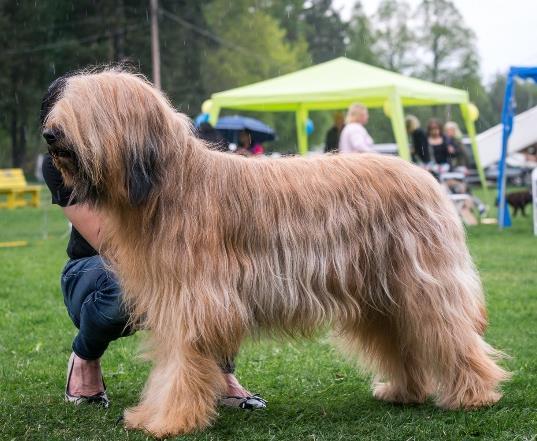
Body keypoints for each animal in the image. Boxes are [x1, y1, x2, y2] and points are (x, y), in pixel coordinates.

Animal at [39, 69, 508, 436]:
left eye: (91, 109)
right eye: (67, 103)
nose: (49, 133)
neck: (170, 186)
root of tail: (426, 177)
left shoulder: (195, 302)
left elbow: (179, 366)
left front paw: (169, 420)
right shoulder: (174, 300)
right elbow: (171, 362)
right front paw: (154, 415)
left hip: (422, 284)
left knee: (452, 334)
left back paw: (475, 395)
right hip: (380, 294)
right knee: (403, 340)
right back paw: (404, 391)